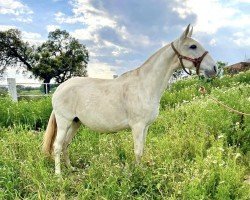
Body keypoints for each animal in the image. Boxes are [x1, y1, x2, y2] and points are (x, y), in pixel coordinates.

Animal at [42, 25, 217, 175]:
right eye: (193, 46)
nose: (214, 68)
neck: (145, 85)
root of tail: (59, 89)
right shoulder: (137, 126)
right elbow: (138, 151)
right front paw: (137, 175)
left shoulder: (145, 127)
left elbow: (142, 150)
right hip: (64, 122)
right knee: (58, 146)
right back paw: (59, 176)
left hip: (75, 123)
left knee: (66, 144)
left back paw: (71, 168)